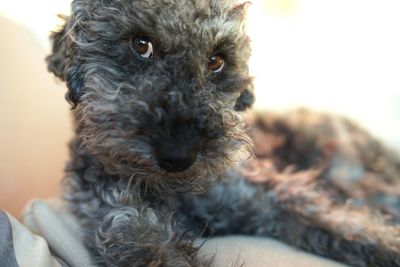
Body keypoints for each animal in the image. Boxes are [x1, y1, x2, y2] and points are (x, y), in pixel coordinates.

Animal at [47, 0, 400, 267]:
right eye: (141, 44)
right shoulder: (129, 229)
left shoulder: (270, 194)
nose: (179, 155)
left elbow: (346, 224)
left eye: (216, 61)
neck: (173, 194)